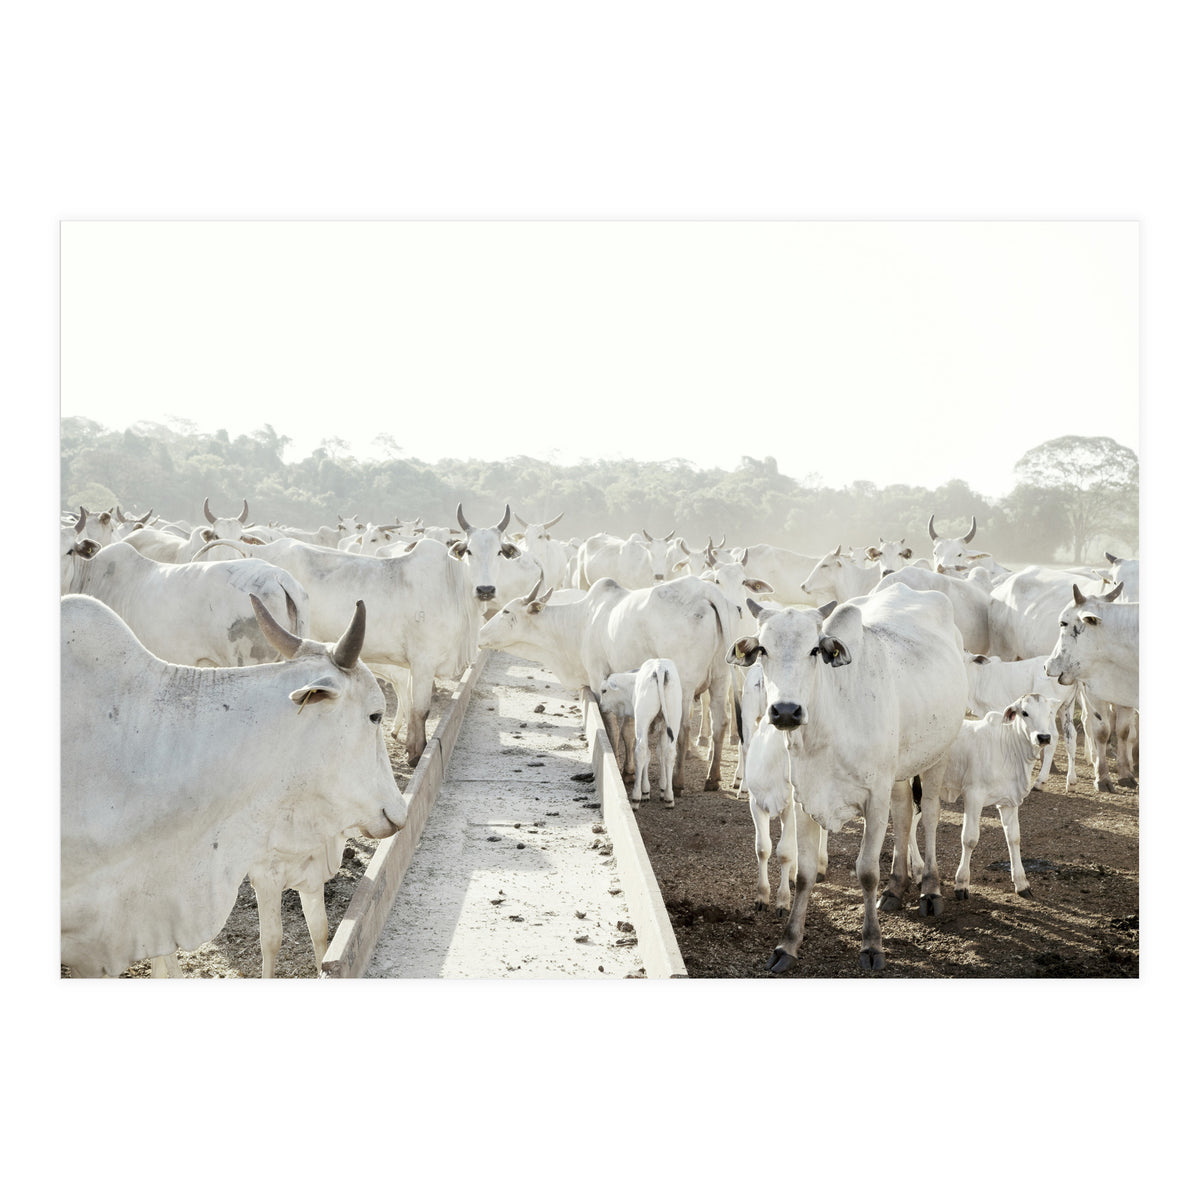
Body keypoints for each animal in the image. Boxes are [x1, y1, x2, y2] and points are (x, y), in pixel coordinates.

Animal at [478, 574, 738, 792]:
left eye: (506, 611)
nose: (481, 635)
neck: (581, 622)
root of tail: (704, 590)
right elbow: (628, 731)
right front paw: (630, 770)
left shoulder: (598, 679)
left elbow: (611, 727)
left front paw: (617, 763)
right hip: (720, 679)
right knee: (720, 723)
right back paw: (712, 778)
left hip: (683, 685)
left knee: (683, 728)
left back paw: (678, 780)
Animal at [598, 658, 684, 808]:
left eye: (604, 690)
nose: (601, 706)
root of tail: (659, 668)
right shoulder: (663, 728)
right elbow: (660, 753)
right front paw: (662, 788)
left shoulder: (644, 726)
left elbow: (647, 755)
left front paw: (645, 791)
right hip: (673, 719)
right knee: (670, 753)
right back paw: (669, 797)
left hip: (643, 721)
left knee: (640, 751)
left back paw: (636, 797)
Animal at [727, 584, 967, 972]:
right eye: (763, 648)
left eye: (814, 649)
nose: (785, 711)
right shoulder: (805, 799)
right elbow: (804, 873)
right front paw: (787, 944)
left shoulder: (874, 796)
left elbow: (866, 871)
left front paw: (872, 945)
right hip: (898, 771)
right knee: (904, 815)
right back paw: (895, 887)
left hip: (937, 754)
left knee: (929, 814)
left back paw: (930, 889)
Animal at [939, 694, 1061, 901]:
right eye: (1024, 712)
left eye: (1049, 712)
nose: (1044, 737)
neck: (1008, 748)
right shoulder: (973, 795)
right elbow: (969, 839)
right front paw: (961, 883)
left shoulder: (1009, 801)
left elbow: (1014, 838)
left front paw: (1021, 883)